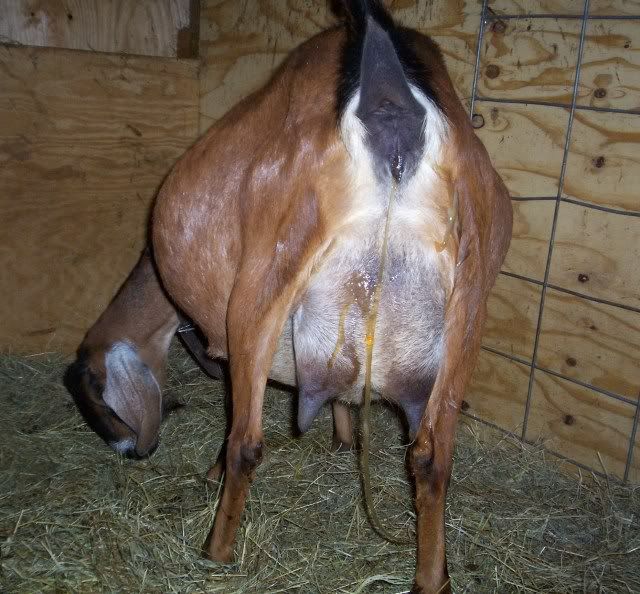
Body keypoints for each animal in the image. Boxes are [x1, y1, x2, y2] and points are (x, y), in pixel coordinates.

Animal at [151, 1, 512, 591]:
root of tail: (391, 105)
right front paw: (343, 437)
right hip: (470, 308)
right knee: (433, 457)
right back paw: (431, 578)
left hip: (262, 289)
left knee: (246, 442)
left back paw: (215, 552)